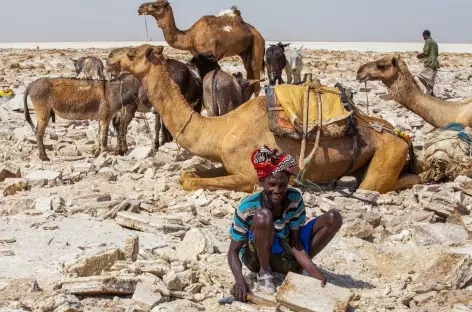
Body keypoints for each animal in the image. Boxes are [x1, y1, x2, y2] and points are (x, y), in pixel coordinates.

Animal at [105, 45, 418, 194]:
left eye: (132, 53)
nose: (110, 56)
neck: (222, 128)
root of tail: (402, 136)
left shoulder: (247, 175)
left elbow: (192, 182)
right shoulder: (227, 162)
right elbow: (189, 174)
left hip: (388, 153)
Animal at [138, 0, 268, 95]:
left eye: (155, 5)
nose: (140, 7)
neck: (190, 36)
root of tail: (258, 33)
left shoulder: (210, 53)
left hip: (258, 43)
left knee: (255, 70)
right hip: (245, 51)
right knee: (249, 72)